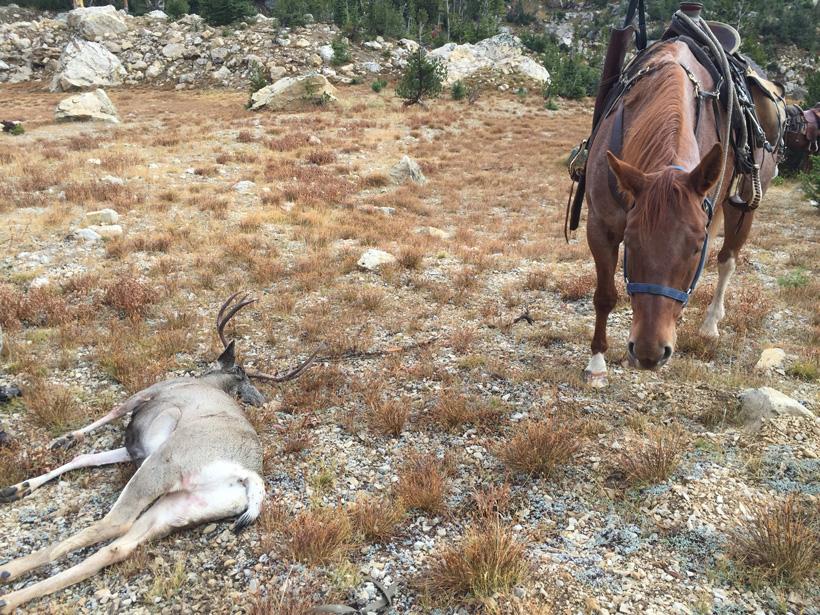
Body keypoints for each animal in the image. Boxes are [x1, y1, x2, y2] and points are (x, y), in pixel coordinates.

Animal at [0, 292, 318, 613]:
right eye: (247, 380)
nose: (258, 399)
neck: (208, 383)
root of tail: (250, 475)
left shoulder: (147, 396)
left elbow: (110, 415)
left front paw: (63, 440)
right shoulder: (136, 448)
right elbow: (85, 458)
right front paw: (18, 488)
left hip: (163, 464)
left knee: (113, 524)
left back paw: (24, 568)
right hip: (183, 505)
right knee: (118, 547)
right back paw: (8, 587)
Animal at [582, 39, 781, 386]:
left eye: (696, 248)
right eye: (630, 243)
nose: (649, 352)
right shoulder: (600, 227)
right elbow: (605, 295)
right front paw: (596, 363)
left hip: (742, 207)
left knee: (728, 259)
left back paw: (711, 323)